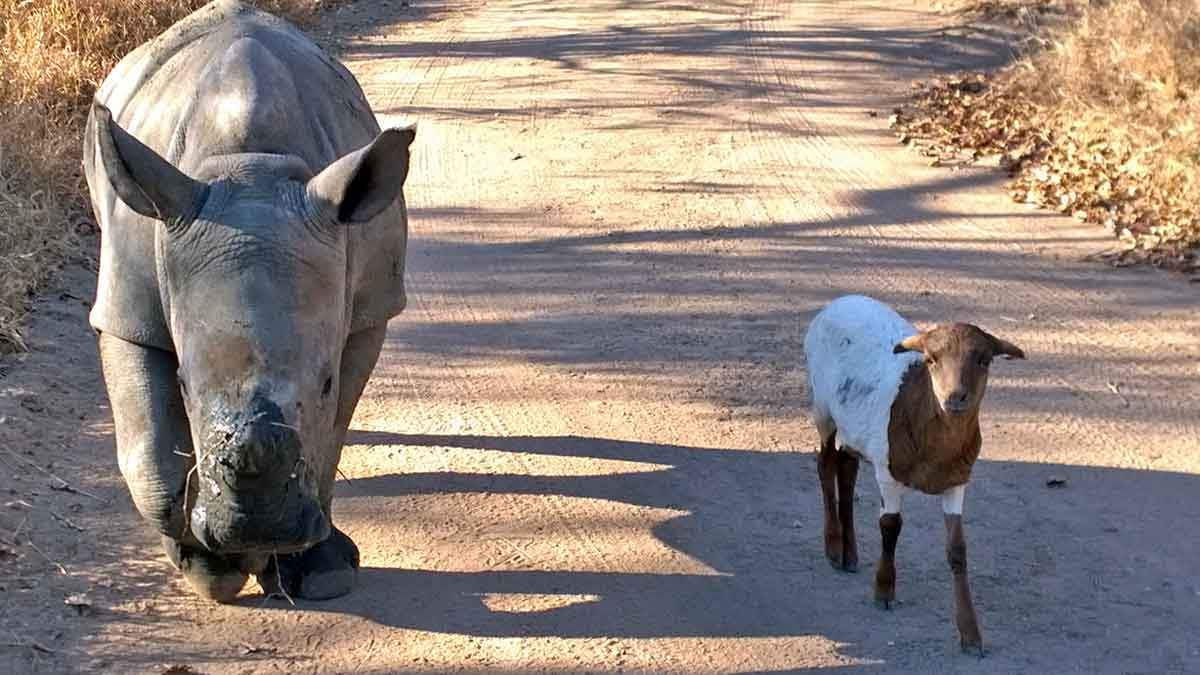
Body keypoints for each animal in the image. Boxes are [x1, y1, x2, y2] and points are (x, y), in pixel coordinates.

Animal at [83, 0, 412, 598]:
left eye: (325, 381)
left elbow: (330, 437)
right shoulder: (126, 308)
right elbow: (150, 462)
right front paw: (212, 568)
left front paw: (316, 570)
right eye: (184, 385)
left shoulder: (371, 308)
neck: (250, 165)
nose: (256, 528)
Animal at [801, 293, 1027, 653]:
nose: (955, 397)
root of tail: (840, 301)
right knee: (825, 465)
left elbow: (958, 551)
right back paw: (834, 547)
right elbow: (890, 527)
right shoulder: (888, 473)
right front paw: (884, 590)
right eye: (931, 360)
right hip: (822, 407)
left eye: (984, 360)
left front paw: (970, 634)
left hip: (856, 429)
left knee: (847, 468)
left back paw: (850, 554)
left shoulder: (957, 483)